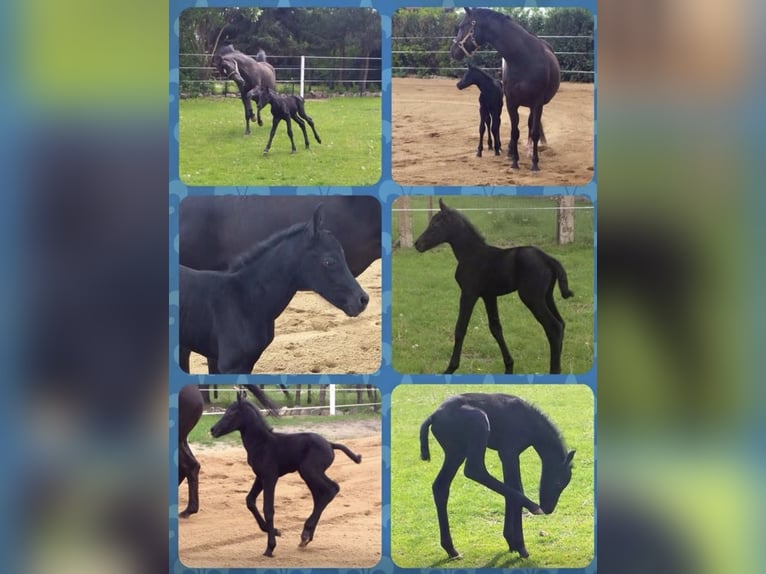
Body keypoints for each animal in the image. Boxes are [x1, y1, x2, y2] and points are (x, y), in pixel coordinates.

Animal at [210, 393, 363, 557]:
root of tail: (330, 444)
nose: (213, 430)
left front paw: (270, 547)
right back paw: (306, 537)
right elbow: (250, 500)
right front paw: (275, 531)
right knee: (320, 495)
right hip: (308, 474)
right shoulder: (260, 477)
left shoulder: (270, 477)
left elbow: (268, 509)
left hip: (310, 471)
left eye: (231, 413)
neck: (262, 443)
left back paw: (305, 535)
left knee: (331, 490)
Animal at [414, 199, 573, 374]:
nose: (417, 244)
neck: (471, 254)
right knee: (561, 324)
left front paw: (450, 368)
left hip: (531, 298)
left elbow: (460, 328)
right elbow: (496, 328)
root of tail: (548, 259)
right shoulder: (489, 296)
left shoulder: (469, 294)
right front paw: (509, 366)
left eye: (435, 225)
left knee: (553, 327)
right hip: (547, 296)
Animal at [420, 392, 575, 559]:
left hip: (455, 452)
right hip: (478, 423)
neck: (529, 421)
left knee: (440, 487)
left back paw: (451, 549)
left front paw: (511, 542)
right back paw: (533, 507)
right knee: (474, 470)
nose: (548, 509)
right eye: (558, 483)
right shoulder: (509, 451)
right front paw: (520, 546)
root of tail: (433, 416)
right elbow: (516, 488)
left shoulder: (507, 455)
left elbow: (510, 489)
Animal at [451, 7, 560, 171]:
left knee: (530, 125)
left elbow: (534, 132)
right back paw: (510, 151)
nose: (453, 51)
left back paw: (529, 152)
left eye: (462, 26)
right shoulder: (511, 103)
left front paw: (535, 163)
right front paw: (514, 161)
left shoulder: (537, 103)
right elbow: (514, 132)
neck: (523, 59)